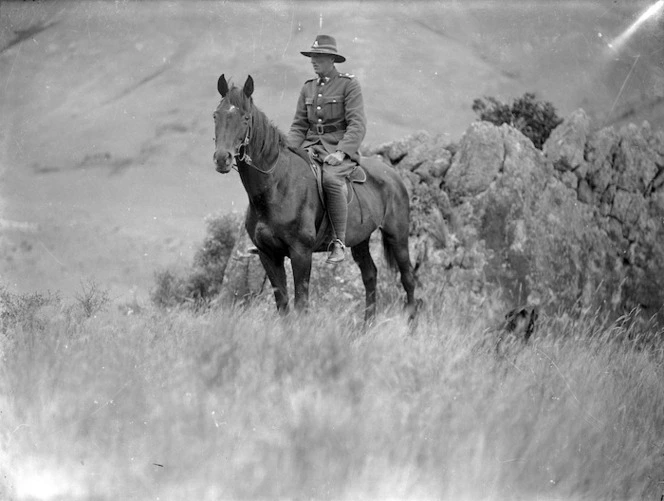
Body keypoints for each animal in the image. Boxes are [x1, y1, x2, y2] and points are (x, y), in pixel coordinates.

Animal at [213, 74, 416, 324]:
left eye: (245, 118)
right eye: (216, 115)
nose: (222, 159)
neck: (276, 187)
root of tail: (394, 176)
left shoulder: (301, 253)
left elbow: (301, 304)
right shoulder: (268, 255)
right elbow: (283, 306)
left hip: (398, 237)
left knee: (408, 278)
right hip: (361, 240)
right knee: (370, 275)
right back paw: (366, 327)